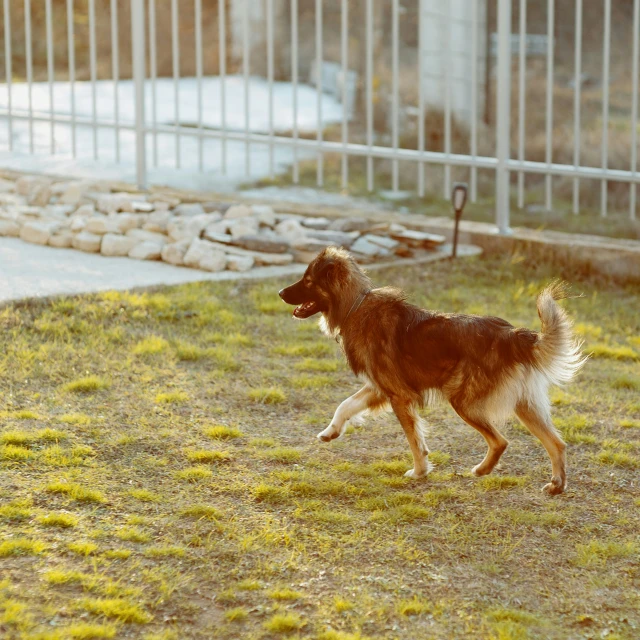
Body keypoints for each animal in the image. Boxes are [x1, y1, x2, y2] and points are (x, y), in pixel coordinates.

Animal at [278, 246, 584, 496]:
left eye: (308, 281)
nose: (280, 293)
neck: (355, 305)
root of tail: (512, 334)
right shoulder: (379, 387)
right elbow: (345, 405)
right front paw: (330, 432)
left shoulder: (398, 396)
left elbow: (414, 440)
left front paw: (419, 472)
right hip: (525, 405)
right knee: (557, 443)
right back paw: (556, 485)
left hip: (463, 401)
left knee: (500, 441)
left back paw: (483, 470)